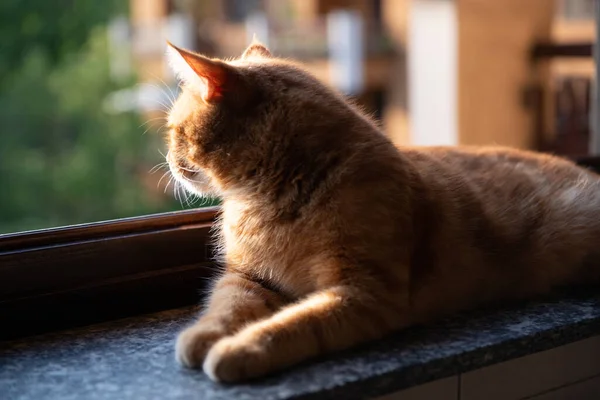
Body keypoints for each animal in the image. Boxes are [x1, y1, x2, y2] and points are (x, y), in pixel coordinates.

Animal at [162, 39, 600, 382]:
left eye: (175, 132)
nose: (168, 160)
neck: (273, 200)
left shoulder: (362, 294)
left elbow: (291, 325)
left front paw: (238, 350)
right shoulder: (247, 278)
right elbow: (223, 307)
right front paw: (202, 337)